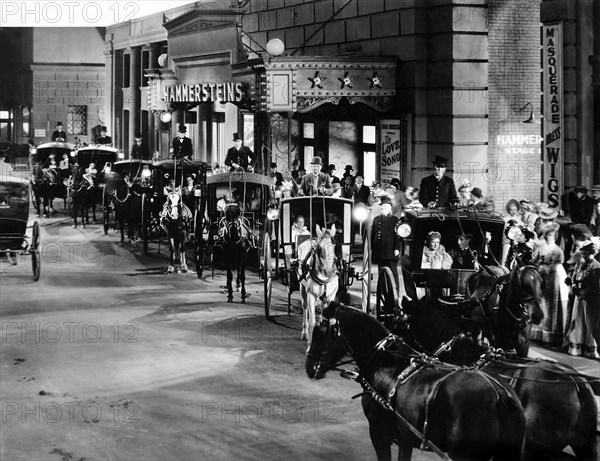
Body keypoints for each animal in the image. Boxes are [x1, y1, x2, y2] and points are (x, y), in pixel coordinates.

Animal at [308, 302, 528, 460]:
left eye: (320, 331)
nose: (309, 367)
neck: (386, 361)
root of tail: (502, 396)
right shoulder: (405, 439)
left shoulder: (379, 434)